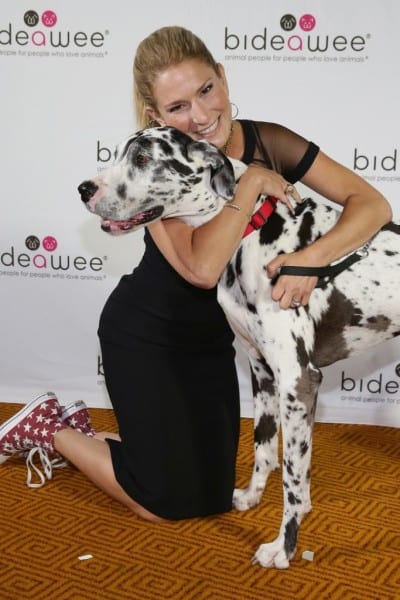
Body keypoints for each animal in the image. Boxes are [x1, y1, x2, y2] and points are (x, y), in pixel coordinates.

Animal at [78, 125, 400, 568]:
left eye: (142, 158)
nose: (83, 189)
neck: (251, 231)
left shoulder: (298, 382)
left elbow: (293, 478)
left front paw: (283, 547)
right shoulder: (262, 373)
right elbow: (264, 449)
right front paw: (252, 497)